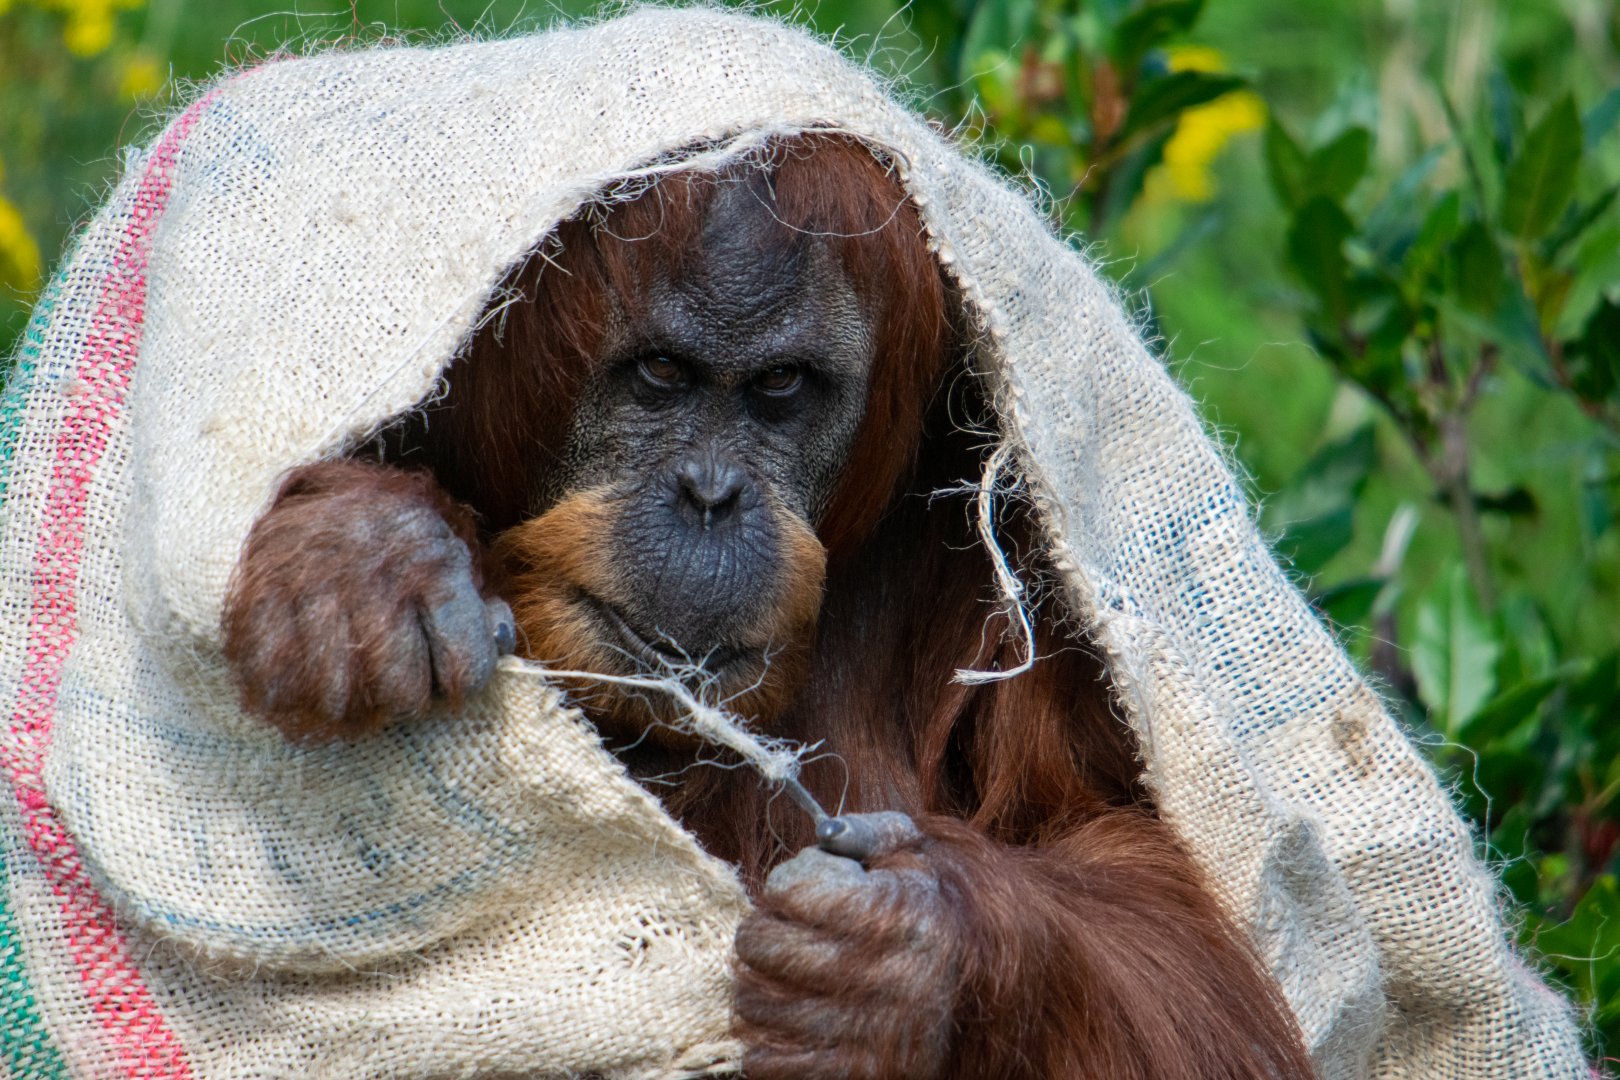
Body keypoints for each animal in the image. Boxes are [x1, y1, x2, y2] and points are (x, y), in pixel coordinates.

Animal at [223, 134, 1316, 1080]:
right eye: (662, 374)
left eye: (781, 386)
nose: (711, 496)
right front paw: (359, 558)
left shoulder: (1022, 534)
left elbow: (1139, 874)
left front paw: (903, 960)